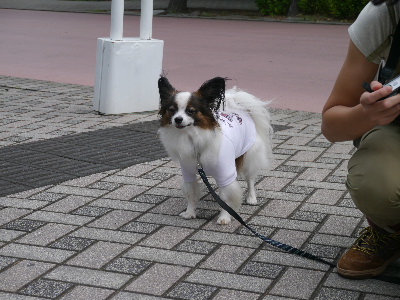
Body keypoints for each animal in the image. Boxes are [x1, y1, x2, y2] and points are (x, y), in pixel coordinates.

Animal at [158, 76, 274, 224]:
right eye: (172, 110)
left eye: (190, 111)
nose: (178, 119)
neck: (192, 137)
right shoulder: (188, 172)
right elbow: (191, 193)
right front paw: (190, 213)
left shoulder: (225, 172)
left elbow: (226, 196)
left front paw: (225, 217)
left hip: (249, 157)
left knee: (250, 179)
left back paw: (251, 197)